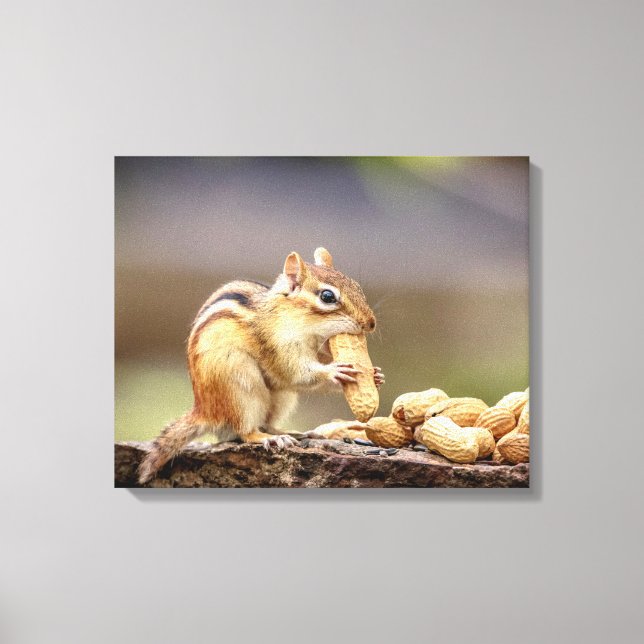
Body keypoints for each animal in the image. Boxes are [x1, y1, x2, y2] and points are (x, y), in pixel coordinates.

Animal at [137, 247, 384, 484]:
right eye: (327, 296)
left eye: (357, 286)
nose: (371, 323)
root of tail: (204, 411)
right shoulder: (277, 345)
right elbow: (297, 373)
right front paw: (334, 371)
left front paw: (376, 375)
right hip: (240, 386)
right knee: (246, 432)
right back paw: (270, 438)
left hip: (281, 397)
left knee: (268, 422)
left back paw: (290, 433)